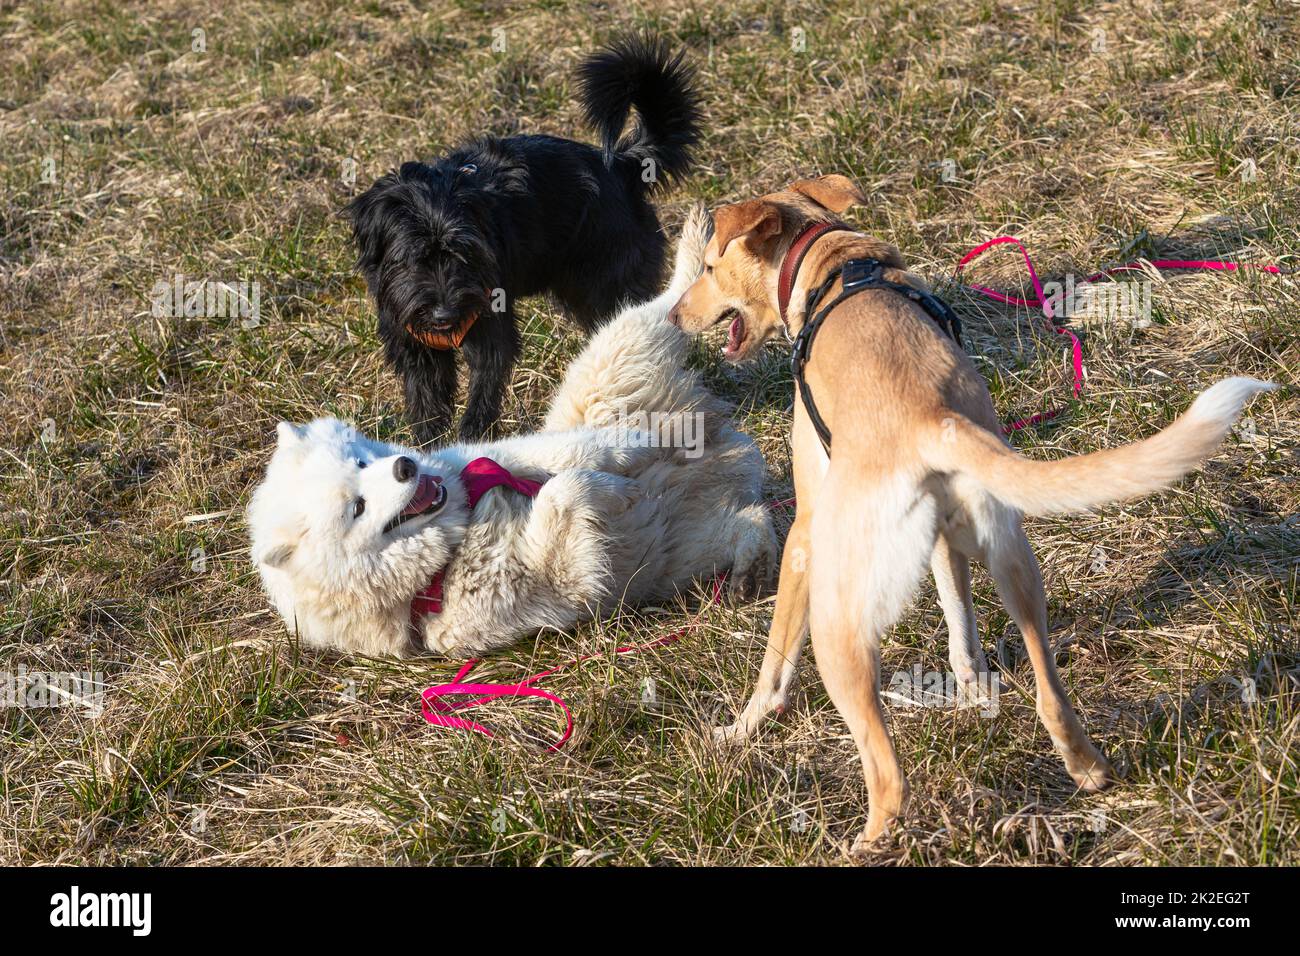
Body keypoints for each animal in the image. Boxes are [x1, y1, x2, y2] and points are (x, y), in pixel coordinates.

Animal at [248, 208, 774, 658]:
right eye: (356, 507)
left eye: (361, 459)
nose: (405, 467)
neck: (454, 543)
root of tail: (732, 444)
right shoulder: (556, 580)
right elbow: (565, 492)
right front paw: (611, 488)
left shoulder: (489, 455)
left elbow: (566, 456)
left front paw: (627, 452)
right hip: (682, 549)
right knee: (752, 521)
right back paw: (750, 565)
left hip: (617, 355)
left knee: (668, 305)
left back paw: (698, 243)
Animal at [340, 35, 696, 442]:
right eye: (415, 259)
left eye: (464, 253)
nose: (445, 315)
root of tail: (623, 165)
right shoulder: (414, 344)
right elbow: (427, 404)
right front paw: (426, 446)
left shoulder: (491, 328)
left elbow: (483, 389)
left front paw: (471, 441)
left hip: (610, 285)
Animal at [665, 171, 1274, 853]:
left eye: (708, 266)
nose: (673, 314)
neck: (831, 265)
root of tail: (929, 417)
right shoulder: (946, 541)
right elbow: (962, 627)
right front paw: (973, 692)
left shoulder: (802, 532)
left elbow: (772, 669)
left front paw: (737, 731)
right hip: (1014, 561)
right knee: (1049, 690)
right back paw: (1086, 768)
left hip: (837, 626)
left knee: (887, 773)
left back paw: (868, 842)